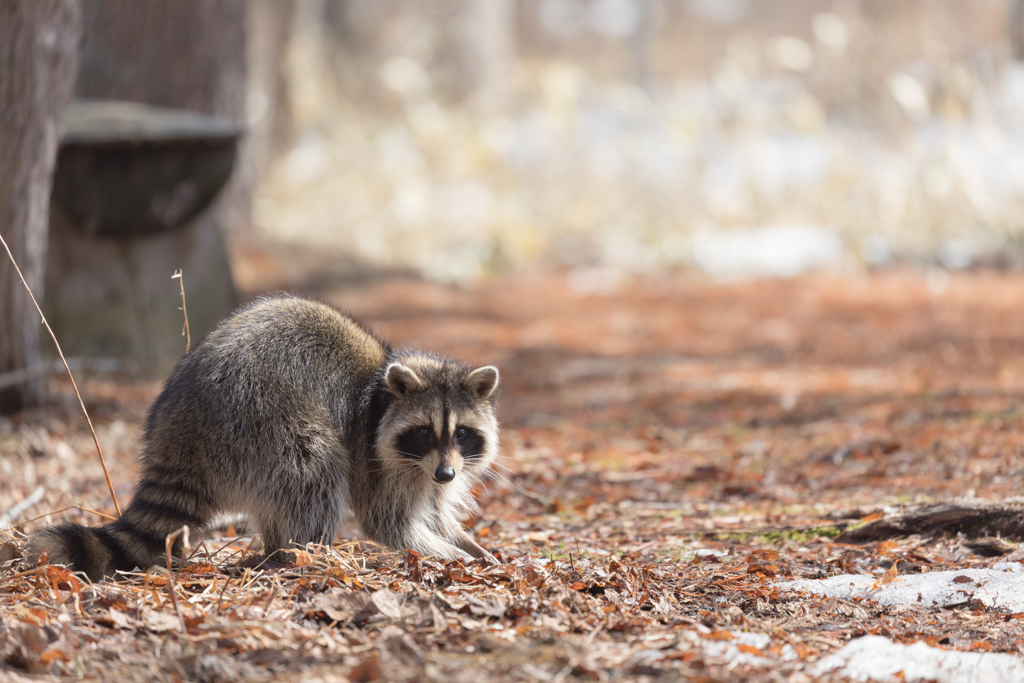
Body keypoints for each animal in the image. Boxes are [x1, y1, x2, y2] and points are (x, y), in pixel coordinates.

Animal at [24, 296, 499, 581]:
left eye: (461, 433)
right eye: (423, 431)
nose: (446, 474)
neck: (383, 391)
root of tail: (179, 430)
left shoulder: (426, 470)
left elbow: (435, 513)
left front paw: (472, 547)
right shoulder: (377, 459)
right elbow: (390, 523)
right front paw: (450, 556)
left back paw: (275, 551)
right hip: (257, 421)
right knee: (316, 469)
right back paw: (306, 554)